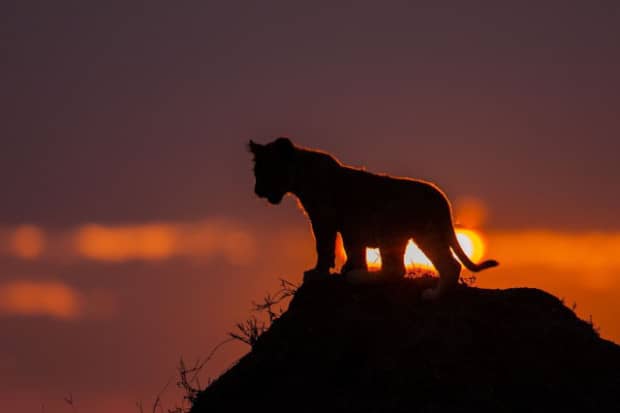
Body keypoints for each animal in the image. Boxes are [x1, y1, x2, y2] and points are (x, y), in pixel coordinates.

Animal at [249, 138, 496, 300]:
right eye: (256, 171)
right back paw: (433, 295)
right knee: (450, 265)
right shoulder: (350, 227)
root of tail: (441, 198)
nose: (257, 191)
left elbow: (324, 247)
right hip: (426, 234)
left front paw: (319, 273)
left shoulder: (323, 218)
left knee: (396, 270)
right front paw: (347, 268)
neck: (300, 175)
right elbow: (353, 251)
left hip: (388, 227)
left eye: (269, 170)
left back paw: (357, 278)